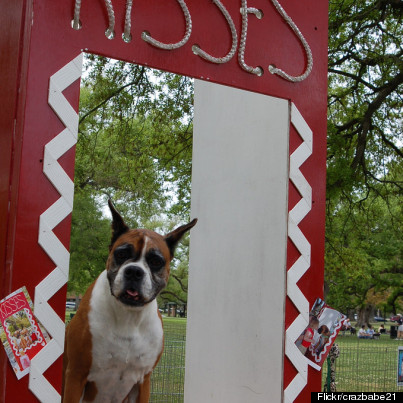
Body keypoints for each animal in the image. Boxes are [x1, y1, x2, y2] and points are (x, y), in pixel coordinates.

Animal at [62, 200, 199, 402]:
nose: (134, 271)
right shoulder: (76, 375)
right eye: (121, 254)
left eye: (156, 261)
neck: (128, 316)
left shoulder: (143, 380)